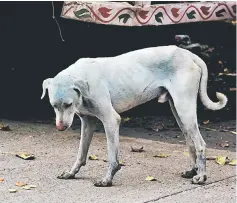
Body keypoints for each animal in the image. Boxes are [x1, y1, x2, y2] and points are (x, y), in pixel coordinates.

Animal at [41, 46, 228, 187]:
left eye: (68, 105)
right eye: (53, 106)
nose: (60, 128)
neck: (84, 77)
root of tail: (188, 54)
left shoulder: (111, 120)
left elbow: (112, 156)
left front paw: (107, 179)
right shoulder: (88, 123)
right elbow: (81, 153)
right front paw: (71, 173)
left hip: (184, 108)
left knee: (200, 144)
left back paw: (201, 176)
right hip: (179, 112)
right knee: (191, 143)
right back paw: (192, 171)